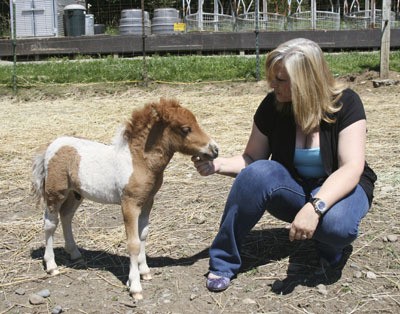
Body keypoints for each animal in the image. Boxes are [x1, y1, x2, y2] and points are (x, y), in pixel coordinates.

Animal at [31, 98, 219, 300]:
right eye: (185, 129)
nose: (215, 149)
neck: (139, 161)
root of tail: (51, 146)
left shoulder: (147, 202)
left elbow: (143, 235)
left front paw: (144, 271)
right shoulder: (129, 204)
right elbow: (133, 243)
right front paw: (135, 286)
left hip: (76, 194)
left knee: (66, 217)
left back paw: (75, 254)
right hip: (56, 193)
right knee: (50, 223)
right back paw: (52, 266)